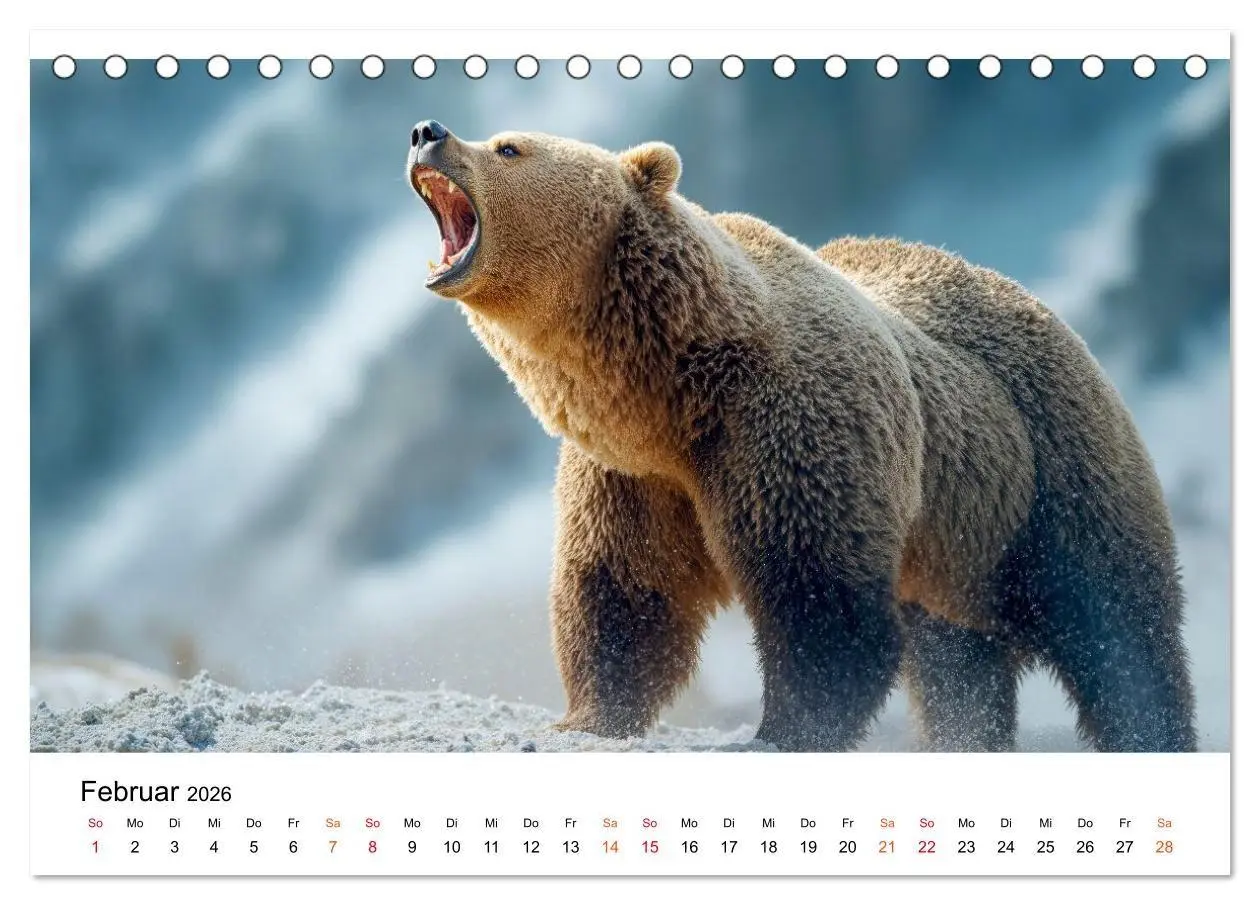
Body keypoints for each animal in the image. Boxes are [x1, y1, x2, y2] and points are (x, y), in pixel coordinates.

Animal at [405, 119, 1197, 752]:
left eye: (508, 146)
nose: (426, 130)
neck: (671, 388)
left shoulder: (791, 426)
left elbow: (816, 593)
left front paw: (783, 729)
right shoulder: (632, 475)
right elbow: (624, 591)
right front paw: (587, 716)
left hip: (1049, 472)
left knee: (1121, 633)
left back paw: (1152, 730)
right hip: (952, 548)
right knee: (958, 667)